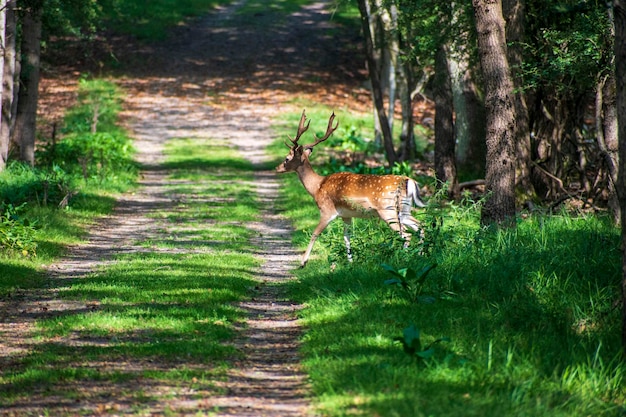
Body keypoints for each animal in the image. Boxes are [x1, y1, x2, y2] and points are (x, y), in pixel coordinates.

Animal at [274, 109, 424, 266]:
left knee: (405, 234)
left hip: (387, 210)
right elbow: (347, 237)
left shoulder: (327, 210)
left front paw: (303, 261)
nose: (277, 168)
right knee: (419, 226)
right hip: (404, 209)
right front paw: (350, 262)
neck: (317, 187)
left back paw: (404, 258)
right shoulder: (345, 215)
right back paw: (420, 255)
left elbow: (315, 233)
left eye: (287, 159)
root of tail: (409, 181)